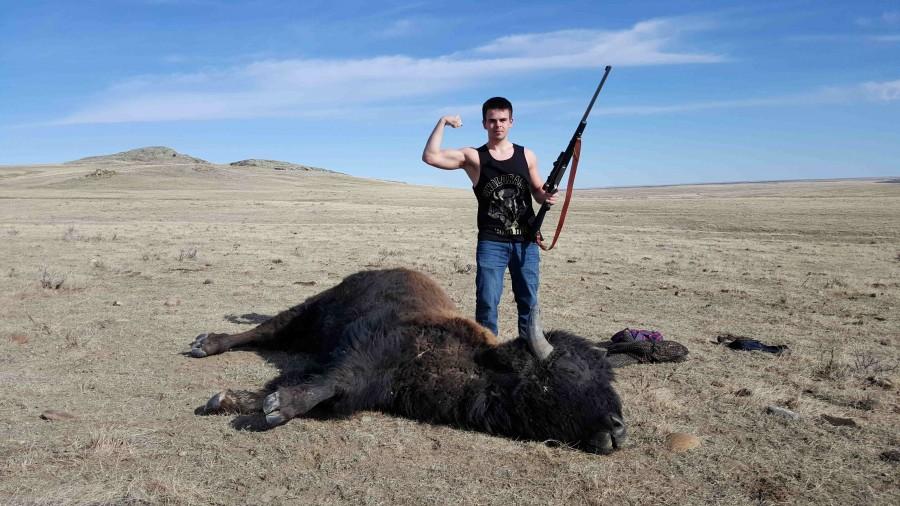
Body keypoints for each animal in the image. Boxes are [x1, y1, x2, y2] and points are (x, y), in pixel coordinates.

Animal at [190, 266, 624, 452]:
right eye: (569, 371)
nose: (618, 429)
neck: (476, 361)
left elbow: (320, 390)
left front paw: (233, 400)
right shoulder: (365, 354)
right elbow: (329, 383)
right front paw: (278, 406)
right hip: (308, 313)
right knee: (265, 330)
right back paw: (205, 344)